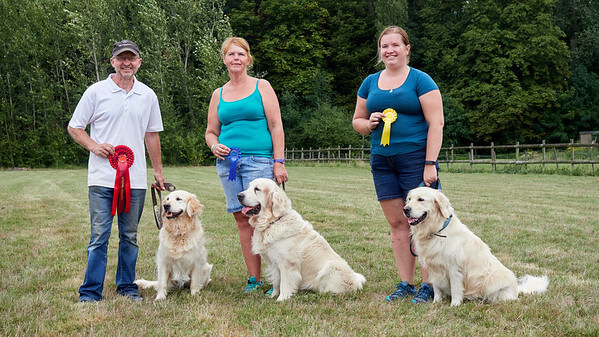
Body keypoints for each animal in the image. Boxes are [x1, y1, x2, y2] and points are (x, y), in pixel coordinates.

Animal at [238, 177, 366, 300]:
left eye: (257, 189)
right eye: (248, 187)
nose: (239, 195)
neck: (272, 222)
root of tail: (356, 282)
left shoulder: (288, 265)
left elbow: (285, 284)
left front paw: (282, 299)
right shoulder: (274, 264)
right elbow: (276, 283)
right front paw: (273, 295)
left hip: (330, 267)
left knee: (325, 292)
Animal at [404, 188, 548, 306]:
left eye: (421, 199)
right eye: (409, 199)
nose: (405, 209)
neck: (436, 230)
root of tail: (518, 289)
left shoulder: (454, 268)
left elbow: (456, 289)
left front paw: (454, 305)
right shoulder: (434, 268)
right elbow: (437, 288)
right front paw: (436, 303)